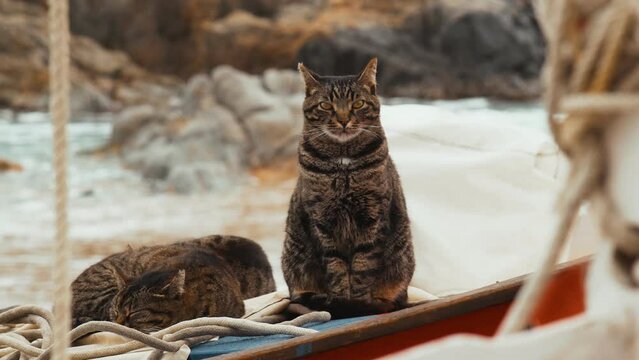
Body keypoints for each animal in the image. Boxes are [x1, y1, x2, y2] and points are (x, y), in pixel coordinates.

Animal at [284, 59, 416, 318]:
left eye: (358, 103)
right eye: (326, 105)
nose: (344, 119)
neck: (342, 162)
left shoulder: (372, 216)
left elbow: (363, 265)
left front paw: (358, 303)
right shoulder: (322, 220)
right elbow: (335, 267)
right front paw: (342, 301)